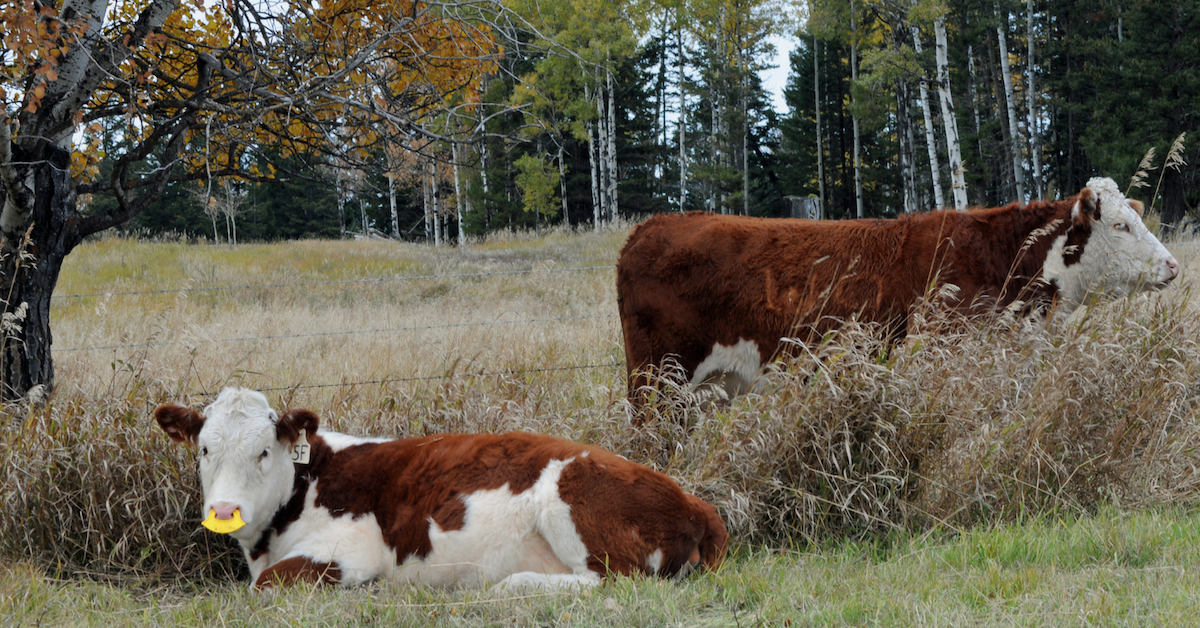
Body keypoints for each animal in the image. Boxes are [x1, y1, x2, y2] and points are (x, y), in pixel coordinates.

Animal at [154, 389, 724, 590]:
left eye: (264, 452)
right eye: (204, 450)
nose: (224, 509)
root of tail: (695, 501)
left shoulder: (351, 550)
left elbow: (265, 586)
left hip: (573, 507)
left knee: (616, 582)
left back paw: (508, 585)